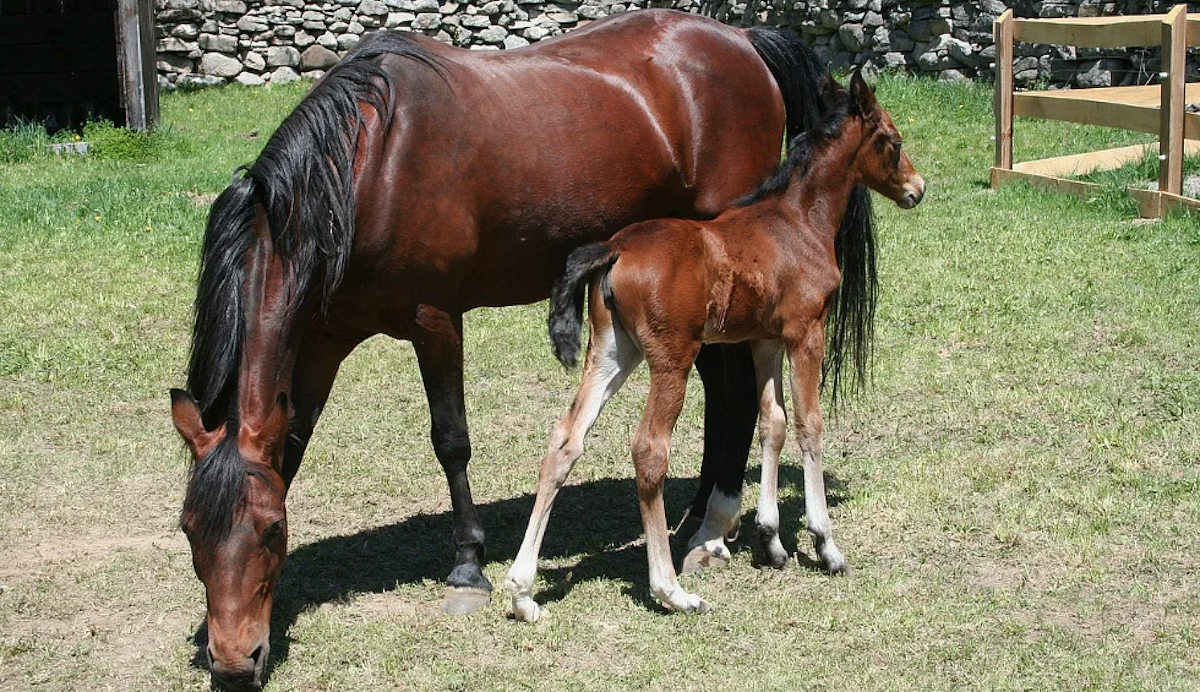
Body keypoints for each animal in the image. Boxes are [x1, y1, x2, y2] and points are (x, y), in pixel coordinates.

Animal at [506, 71, 926, 618]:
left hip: (613, 353)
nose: (918, 188)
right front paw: (825, 545)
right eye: (893, 142)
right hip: (672, 360)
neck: (797, 222)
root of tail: (615, 248)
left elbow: (773, 423)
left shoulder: (764, 341)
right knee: (649, 450)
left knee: (564, 442)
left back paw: (522, 592)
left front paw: (771, 541)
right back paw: (671, 590)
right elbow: (809, 426)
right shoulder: (805, 334)